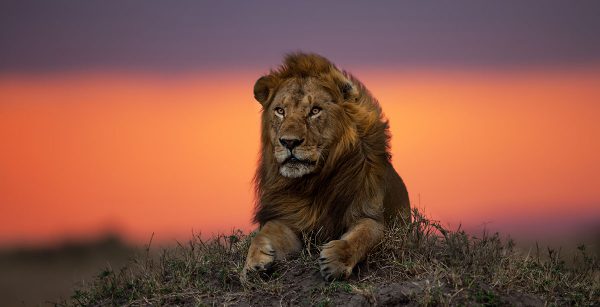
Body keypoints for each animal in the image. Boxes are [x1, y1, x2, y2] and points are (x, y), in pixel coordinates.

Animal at [241, 53, 410, 282]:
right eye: (280, 111)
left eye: (315, 110)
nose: (289, 142)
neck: (314, 182)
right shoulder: (289, 217)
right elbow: (263, 233)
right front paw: (253, 264)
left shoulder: (370, 215)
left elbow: (362, 236)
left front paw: (335, 261)